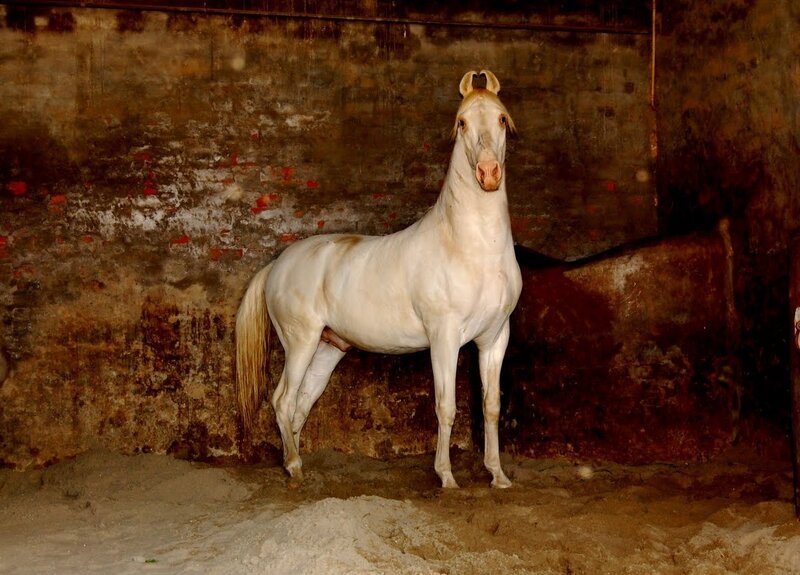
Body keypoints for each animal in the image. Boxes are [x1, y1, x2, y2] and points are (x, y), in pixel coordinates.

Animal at [235, 70, 522, 489]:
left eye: (501, 119)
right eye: (462, 123)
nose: (488, 174)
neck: (471, 248)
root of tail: (276, 265)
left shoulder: (495, 337)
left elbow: (492, 406)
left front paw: (497, 475)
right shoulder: (445, 338)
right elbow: (446, 407)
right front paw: (446, 477)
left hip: (327, 349)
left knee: (301, 405)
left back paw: (296, 463)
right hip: (300, 342)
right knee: (283, 401)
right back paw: (294, 467)